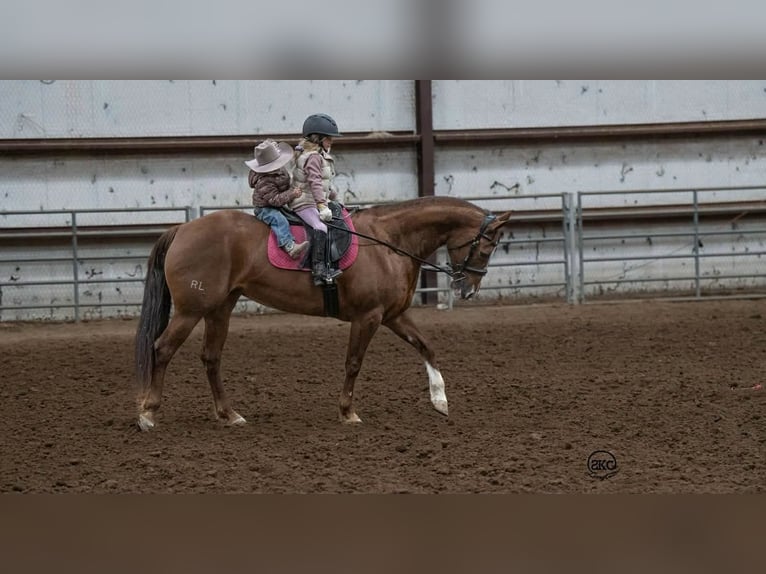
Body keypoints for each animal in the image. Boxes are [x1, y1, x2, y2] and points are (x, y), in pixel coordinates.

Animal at [134, 196, 512, 431]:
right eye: (487, 248)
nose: (468, 290)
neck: (389, 241)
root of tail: (182, 229)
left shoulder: (393, 314)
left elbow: (426, 346)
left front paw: (440, 400)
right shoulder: (368, 316)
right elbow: (354, 363)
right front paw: (348, 412)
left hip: (219, 309)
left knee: (211, 358)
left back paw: (229, 415)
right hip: (191, 310)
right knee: (162, 349)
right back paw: (148, 414)